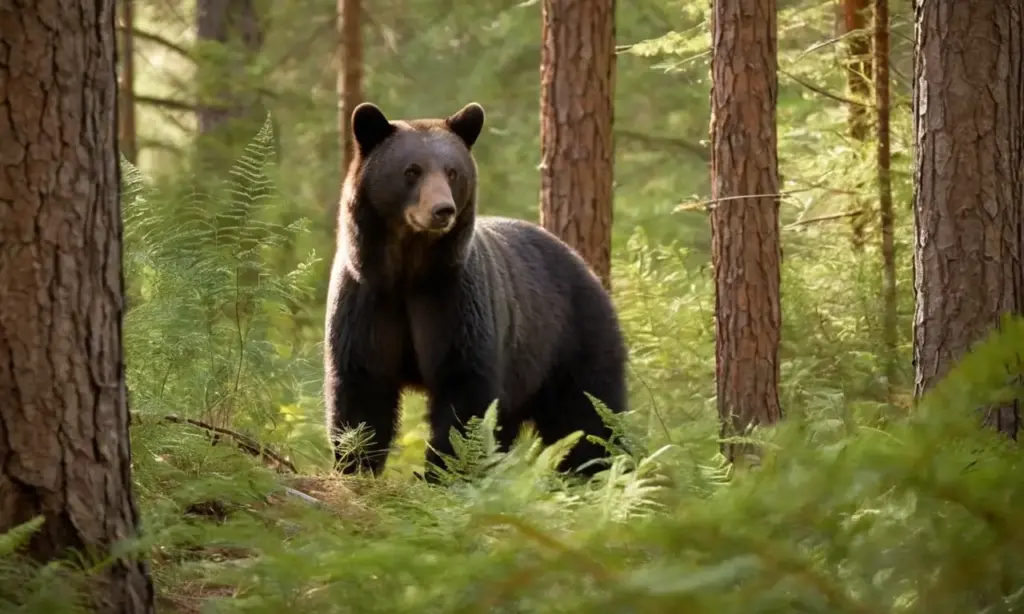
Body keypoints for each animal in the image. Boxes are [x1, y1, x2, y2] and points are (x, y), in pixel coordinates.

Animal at [323, 101, 628, 483]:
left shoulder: (454, 299)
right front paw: (355, 465)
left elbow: (463, 393)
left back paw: (595, 472)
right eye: (412, 170)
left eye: (452, 171)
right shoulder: (368, 298)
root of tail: (581, 261)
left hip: (571, 337)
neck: (409, 270)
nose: (442, 210)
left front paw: (443, 472)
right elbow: (362, 385)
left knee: (590, 415)